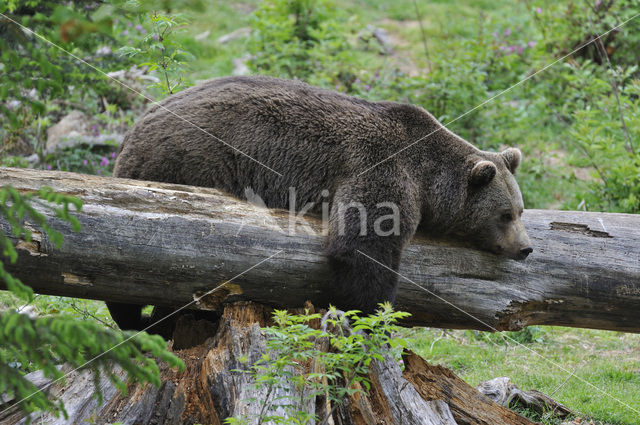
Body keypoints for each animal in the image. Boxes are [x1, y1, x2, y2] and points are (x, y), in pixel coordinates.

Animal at [107, 75, 532, 332]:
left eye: (520, 210)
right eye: (504, 214)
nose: (526, 248)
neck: (429, 176)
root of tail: (135, 130)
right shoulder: (381, 167)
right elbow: (363, 244)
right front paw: (371, 311)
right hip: (186, 162)